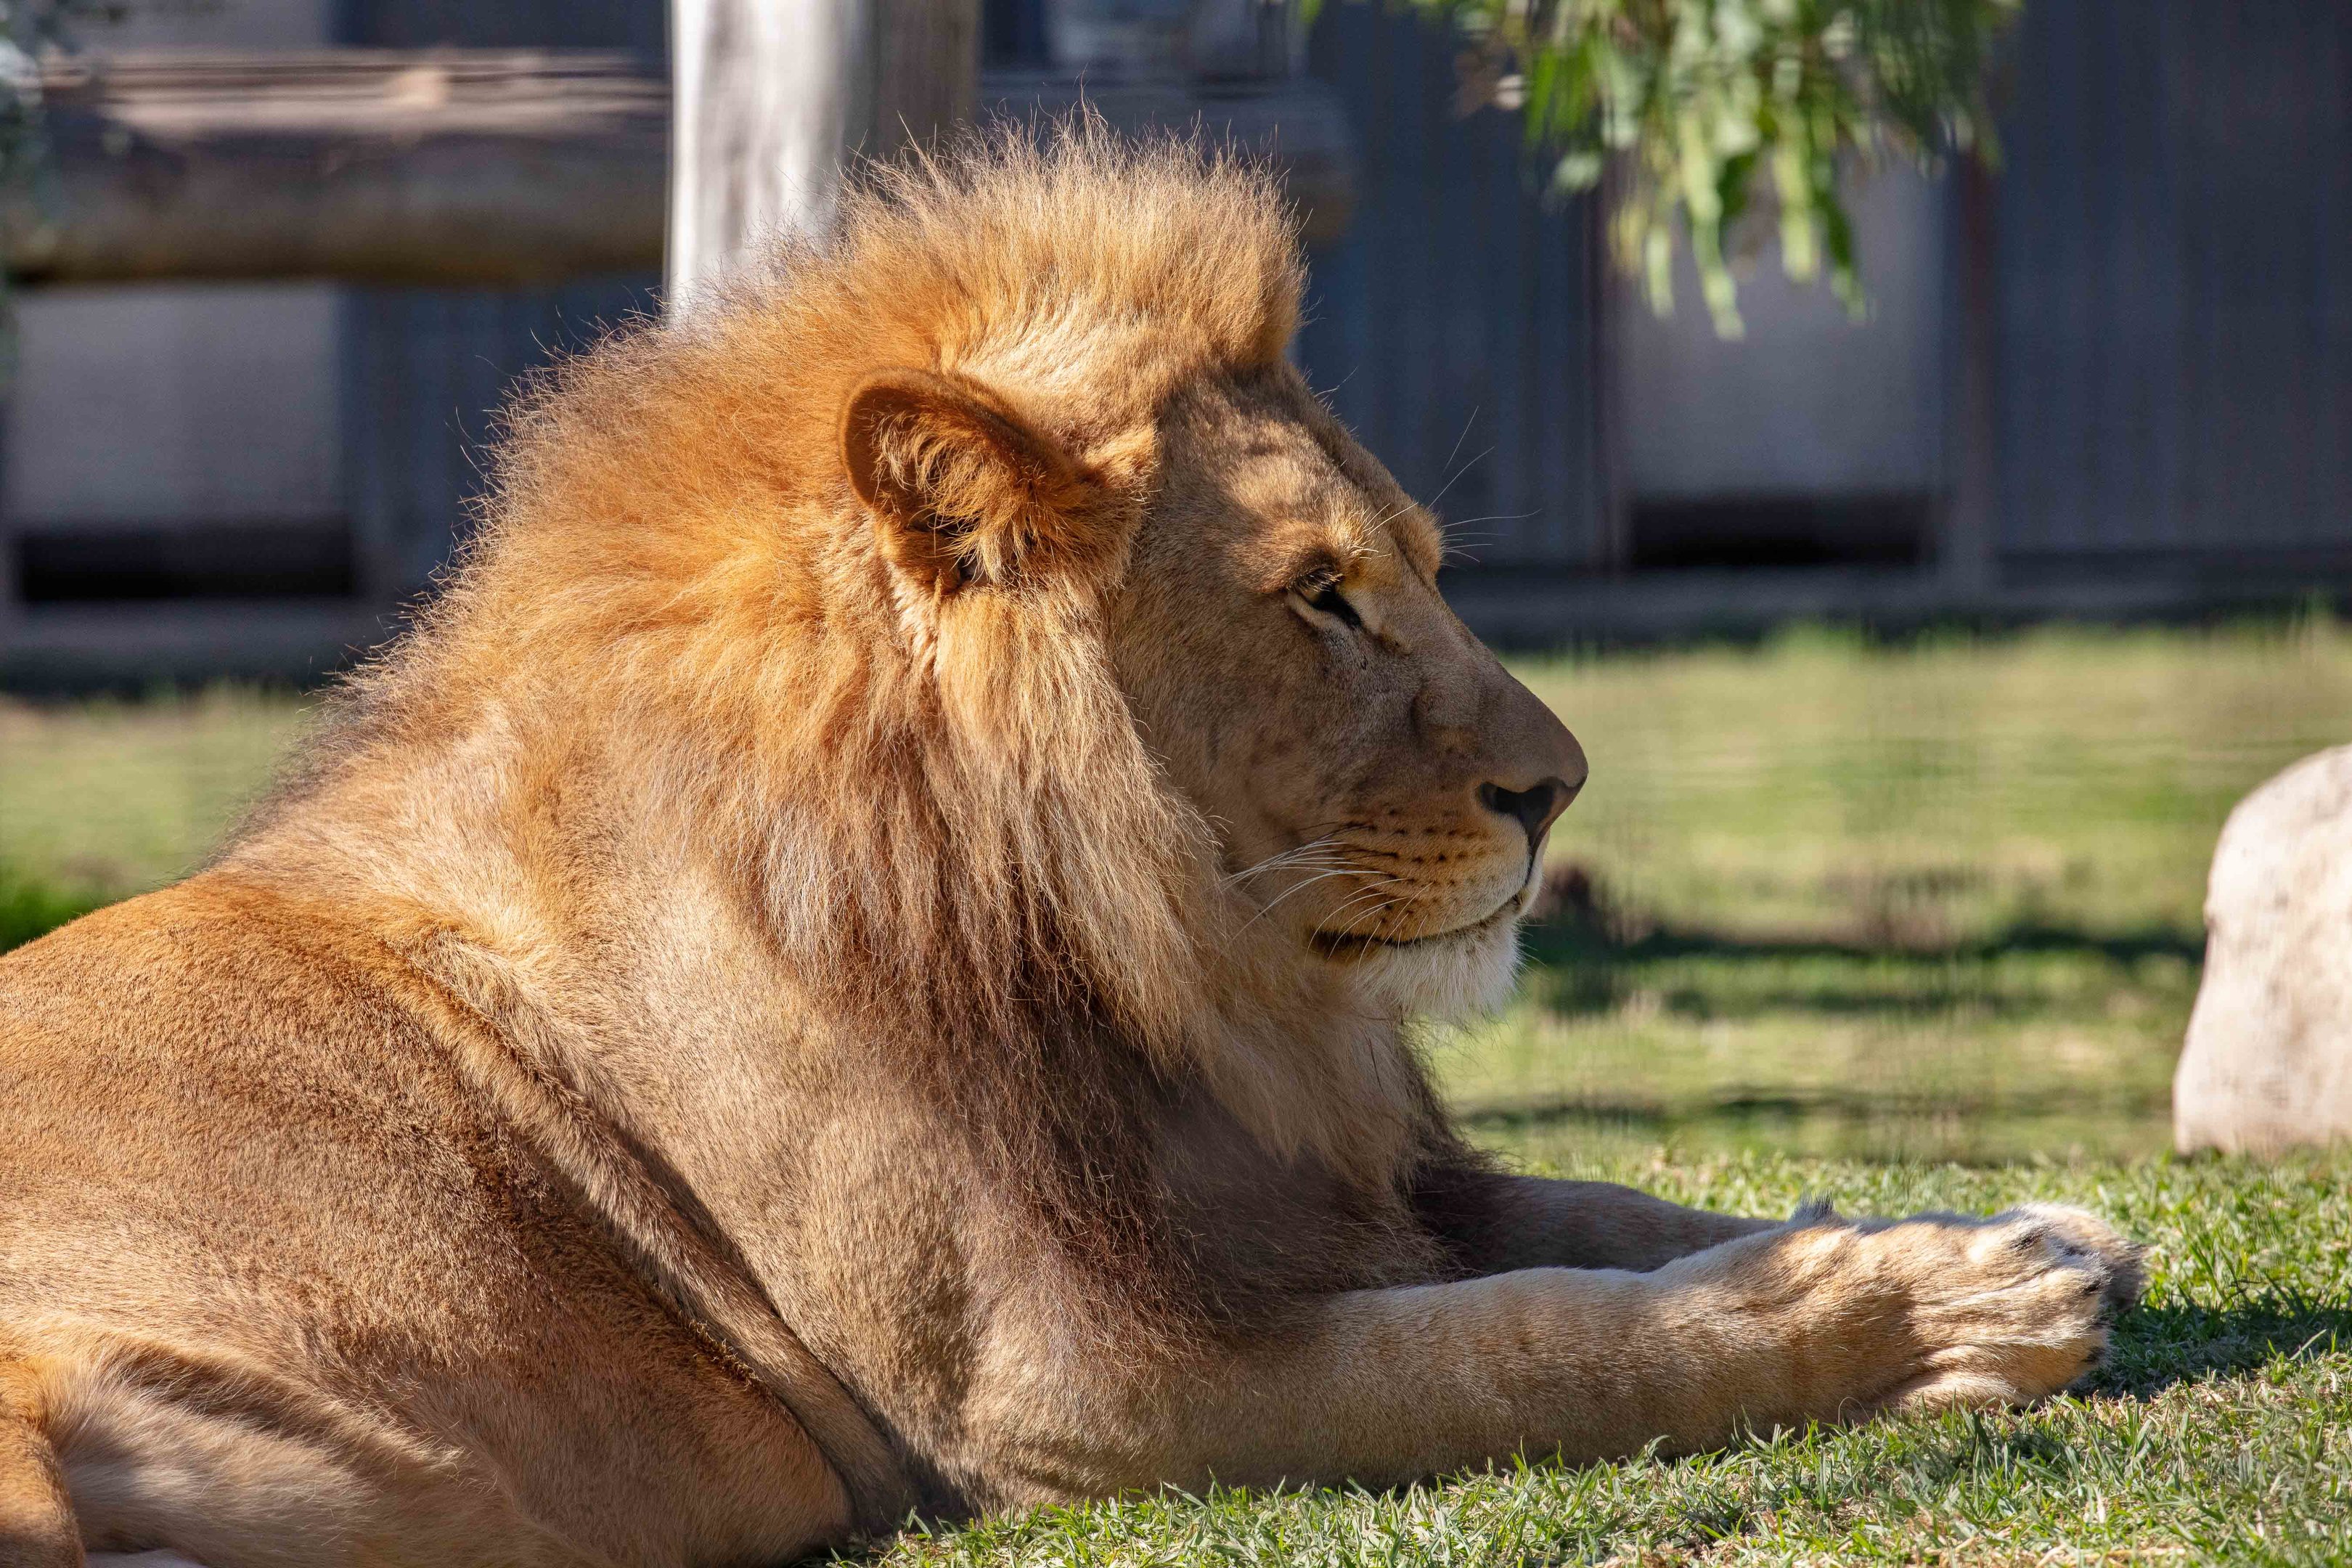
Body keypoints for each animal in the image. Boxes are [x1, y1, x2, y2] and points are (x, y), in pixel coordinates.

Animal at [0, 126, 2142, 1568]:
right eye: (1323, 600)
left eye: (1419, 571)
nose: (1559, 788)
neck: (1150, 965)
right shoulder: (1070, 1390)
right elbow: (1547, 1343)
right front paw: (1944, 1314)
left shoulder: (1287, 1181)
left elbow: (1626, 1214)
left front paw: (2028, 1233)